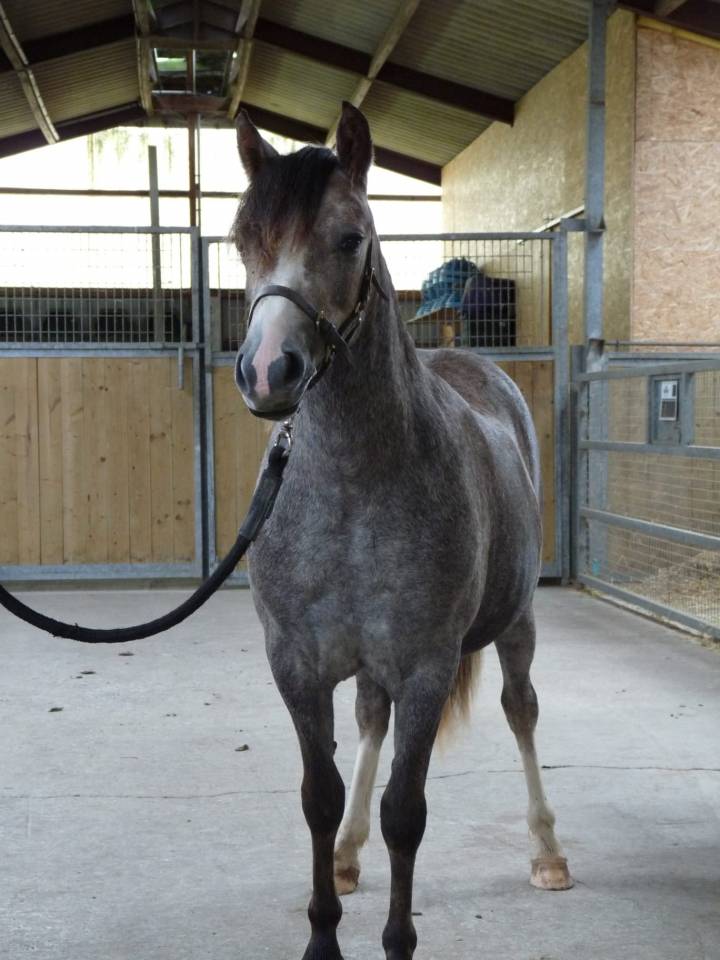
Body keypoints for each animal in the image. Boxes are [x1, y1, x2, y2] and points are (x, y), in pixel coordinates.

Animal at [231, 102, 572, 960]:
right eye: (242, 238)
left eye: (351, 238)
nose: (267, 371)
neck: (353, 486)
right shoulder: (297, 666)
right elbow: (321, 797)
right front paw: (325, 927)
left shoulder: (424, 666)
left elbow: (405, 813)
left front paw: (396, 939)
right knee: (369, 723)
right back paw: (350, 857)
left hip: (516, 622)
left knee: (521, 709)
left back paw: (548, 850)